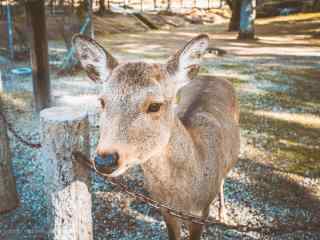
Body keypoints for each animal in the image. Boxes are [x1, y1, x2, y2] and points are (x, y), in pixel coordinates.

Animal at [72, 33, 238, 240]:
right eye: (102, 101)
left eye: (155, 105)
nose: (105, 160)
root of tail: (214, 77)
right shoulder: (165, 210)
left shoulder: (200, 214)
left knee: (223, 180)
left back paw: (223, 215)